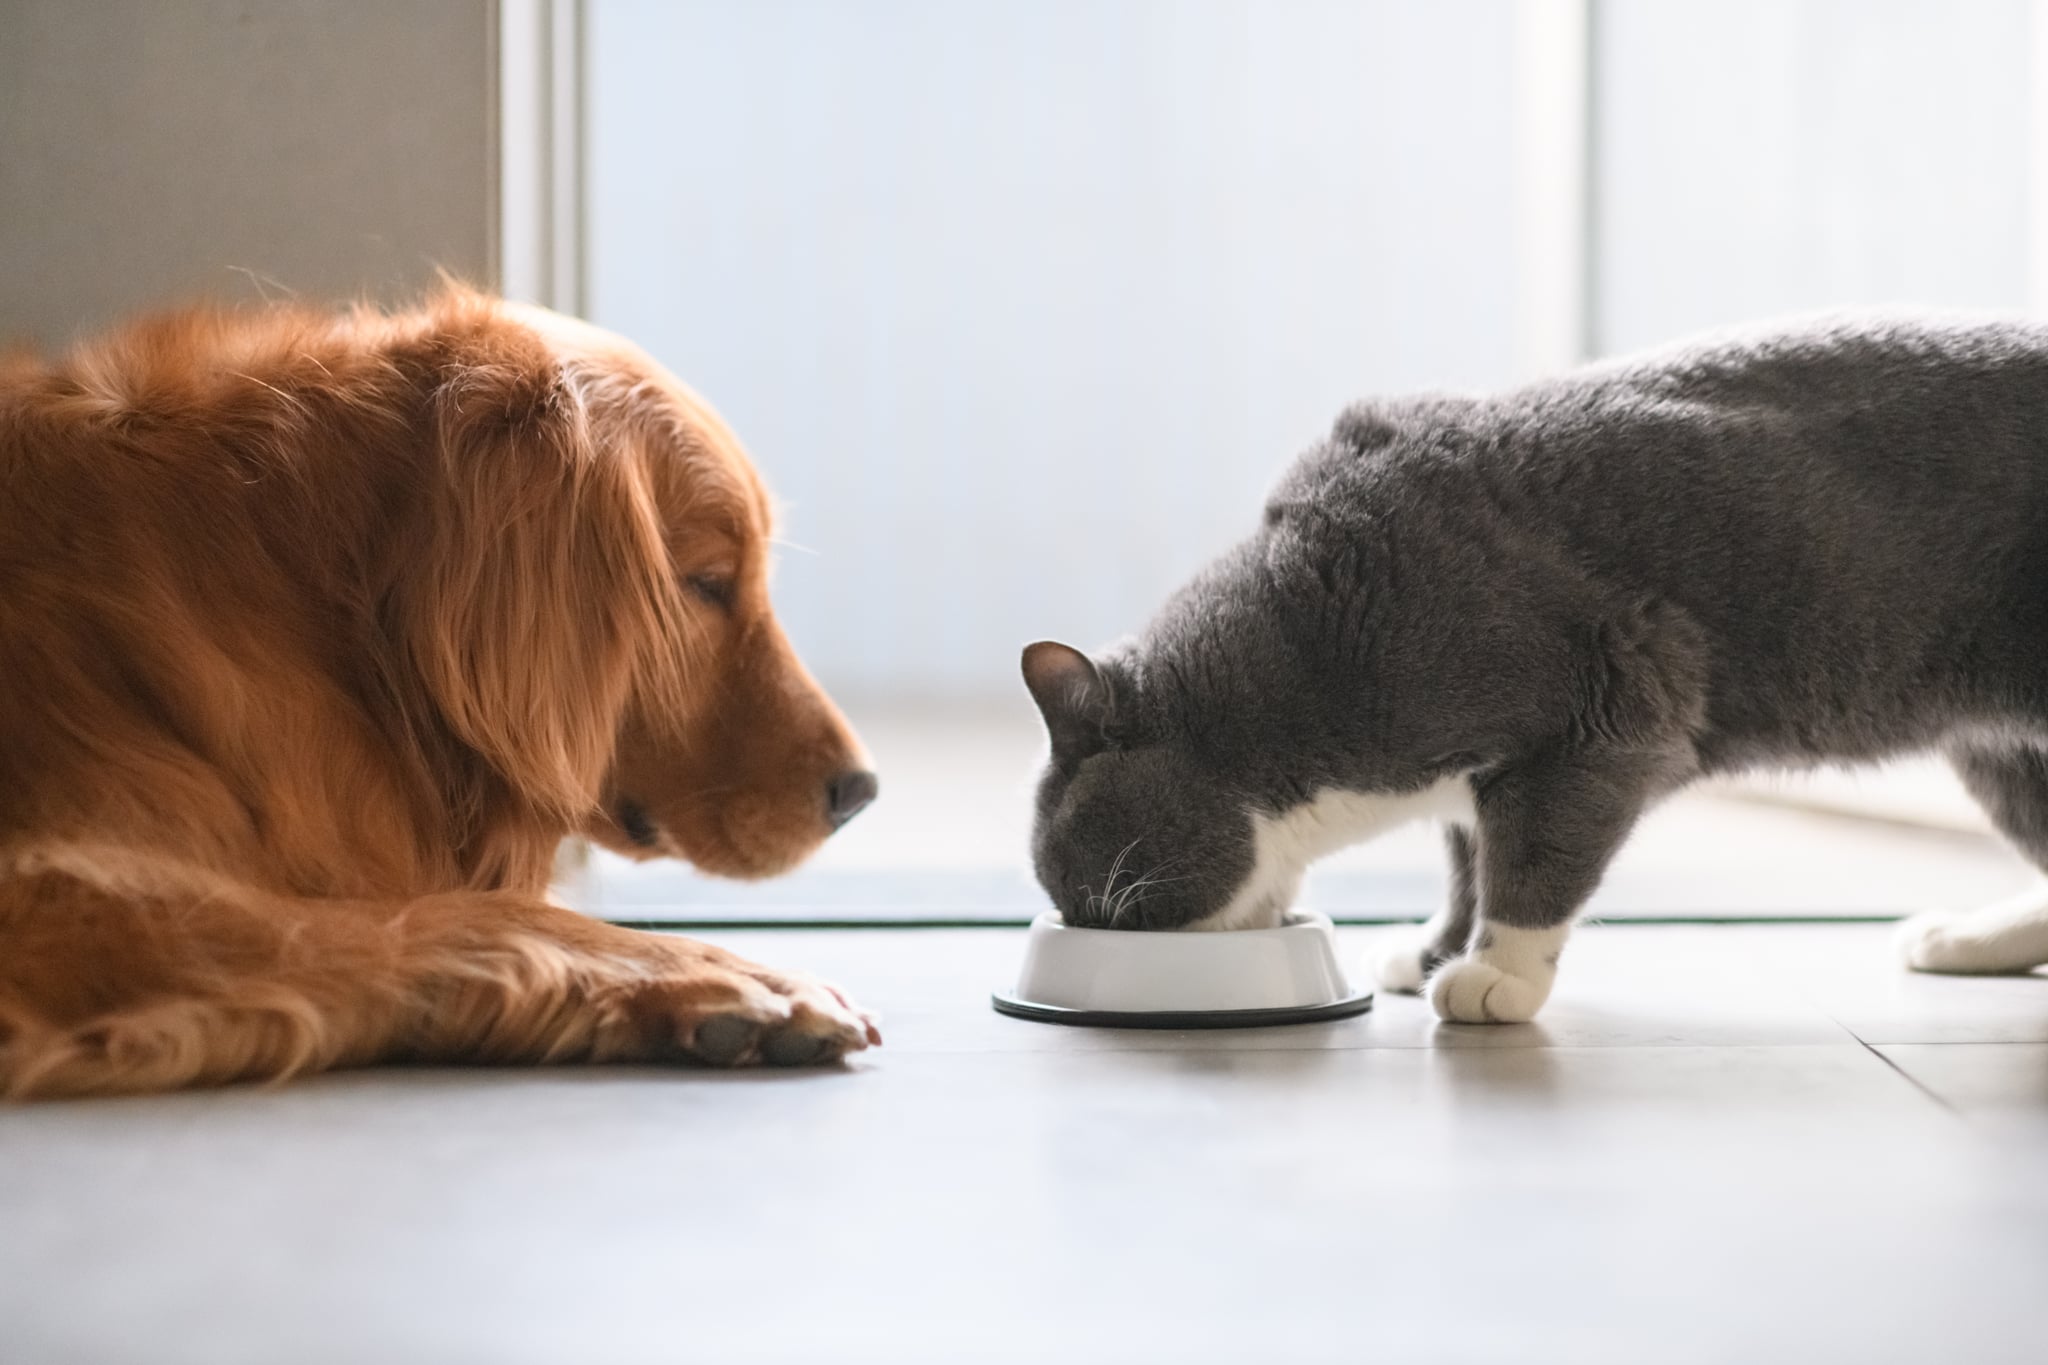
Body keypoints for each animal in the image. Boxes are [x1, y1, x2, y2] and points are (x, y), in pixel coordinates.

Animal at [0, 288, 880, 1096]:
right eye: (707, 584)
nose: (861, 792)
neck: (322, 618)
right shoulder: (57, 884)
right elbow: (443, 912)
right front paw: (717, 975)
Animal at [1024, 317, 2048, 1023]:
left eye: (1098, 899)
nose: (1092, 924)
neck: (1309, 643)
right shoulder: (1471, 779)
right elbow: (1468, 858)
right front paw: (1434, 951)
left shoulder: (1616, 694)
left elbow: (1533, 854)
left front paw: (1496, 974)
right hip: (2003, 751)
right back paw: (1970, 938)